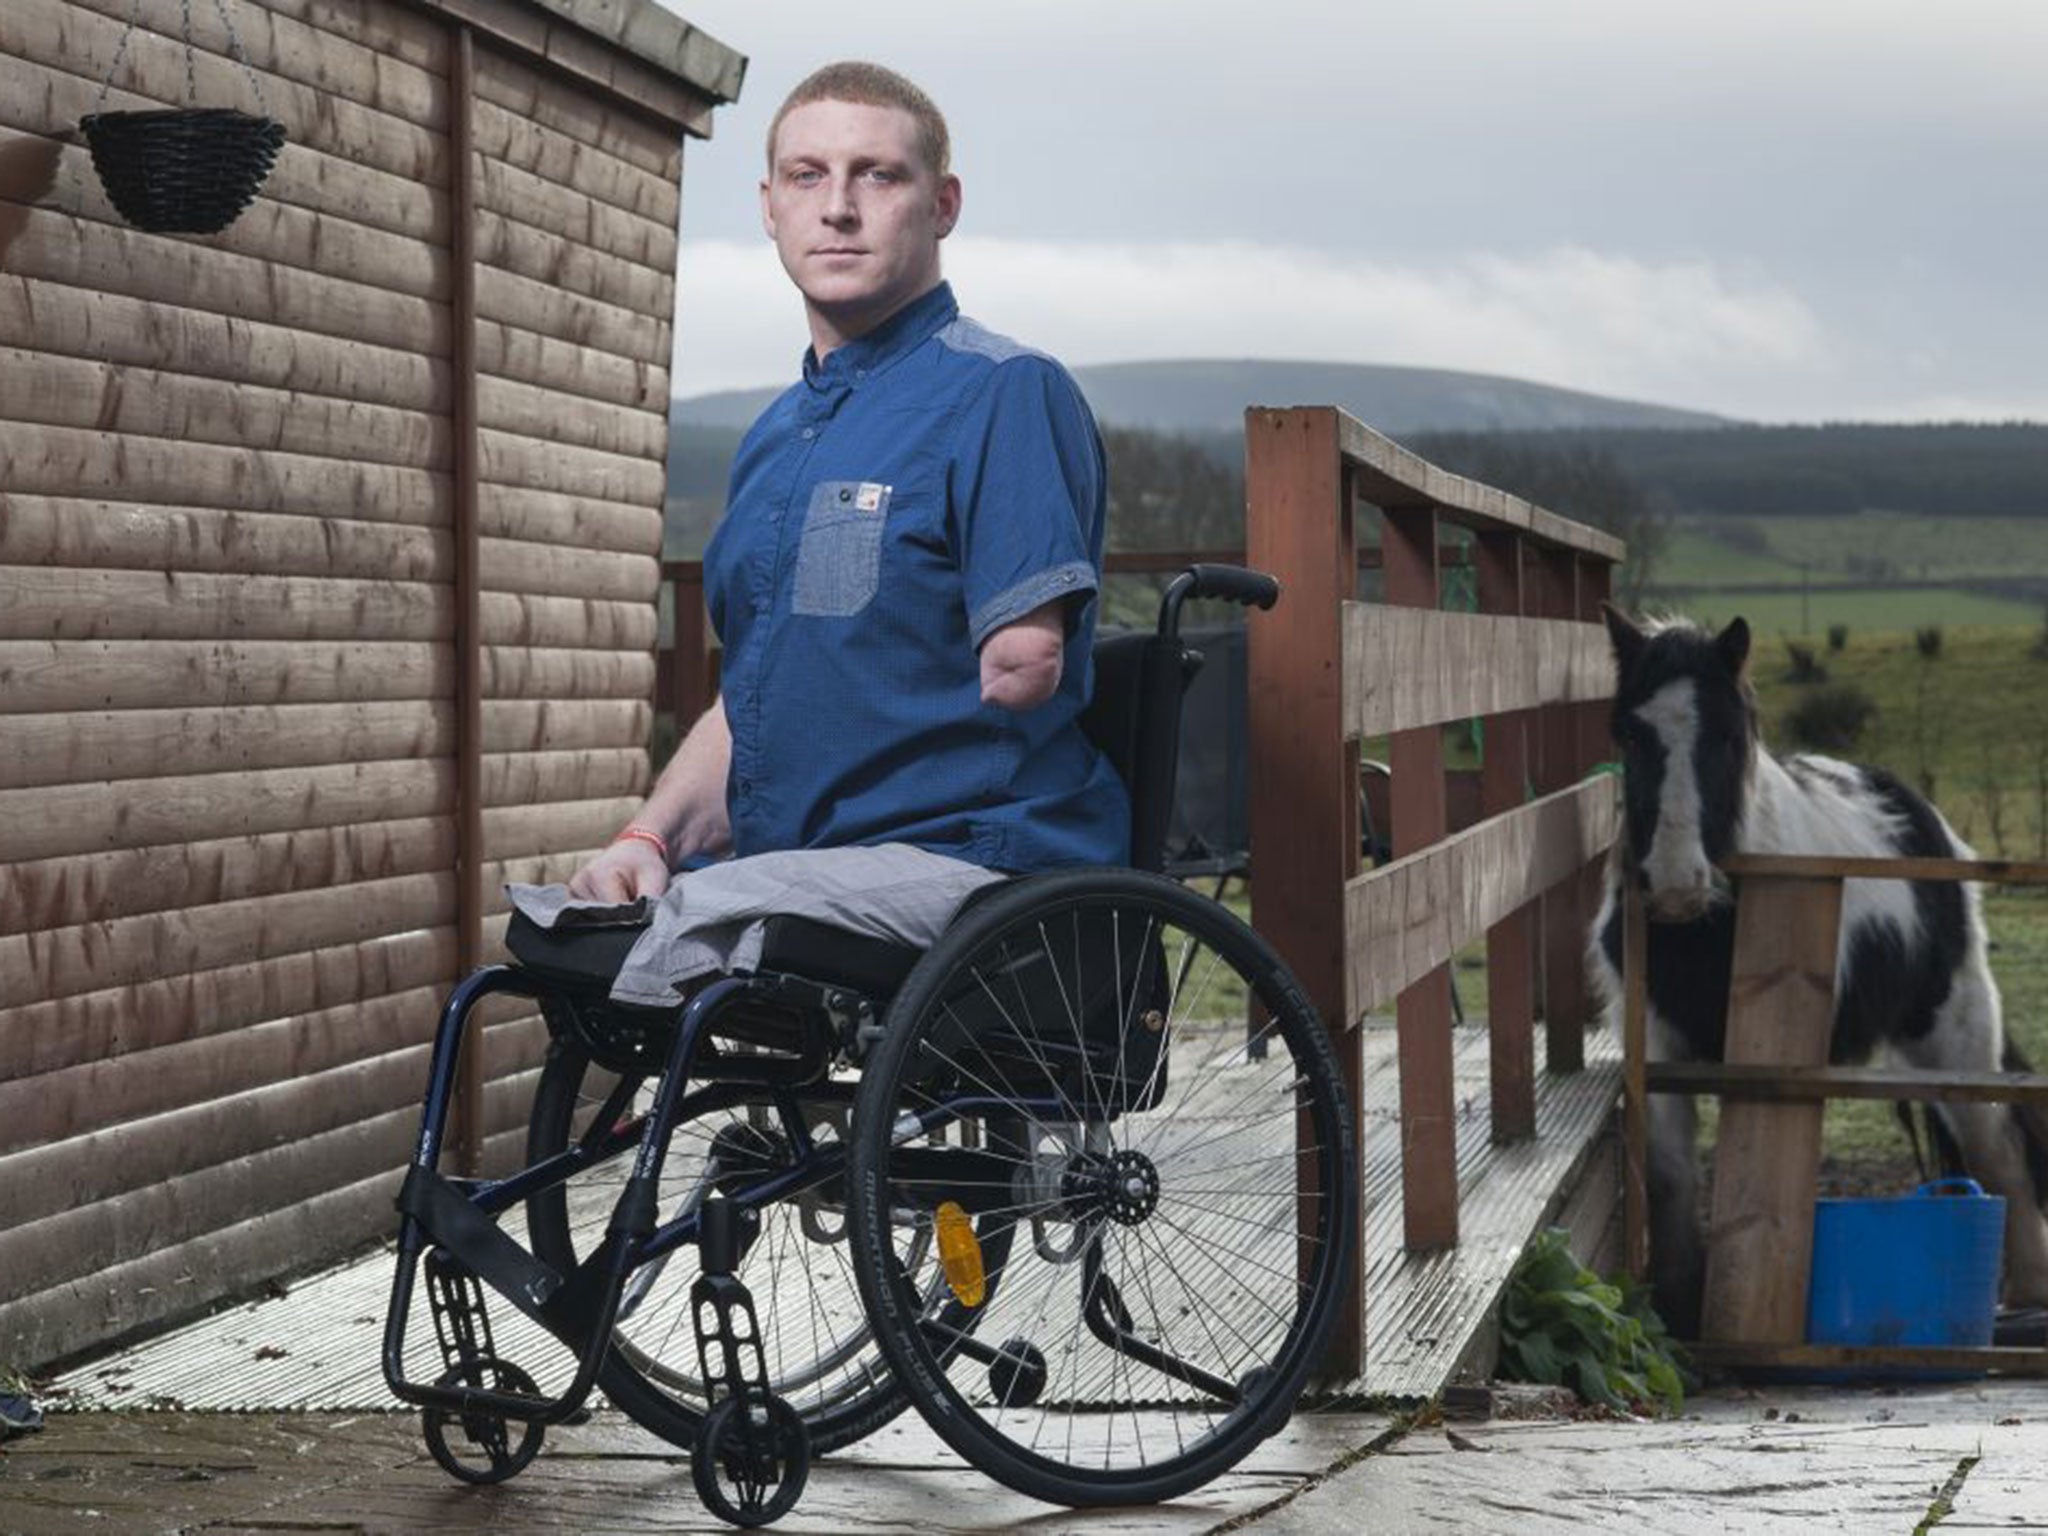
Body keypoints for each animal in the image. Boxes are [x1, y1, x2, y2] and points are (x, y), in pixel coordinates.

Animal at [1597, 610, 2048, 1335]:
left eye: (1727, 735)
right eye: (1630, 732)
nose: (1674, 882)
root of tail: (1922, 817)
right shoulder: (1660, 1046)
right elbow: (1671, 1177)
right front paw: (1678, 1304)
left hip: (1953, 1032)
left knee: (1998, 1145)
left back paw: (2028, 1298)